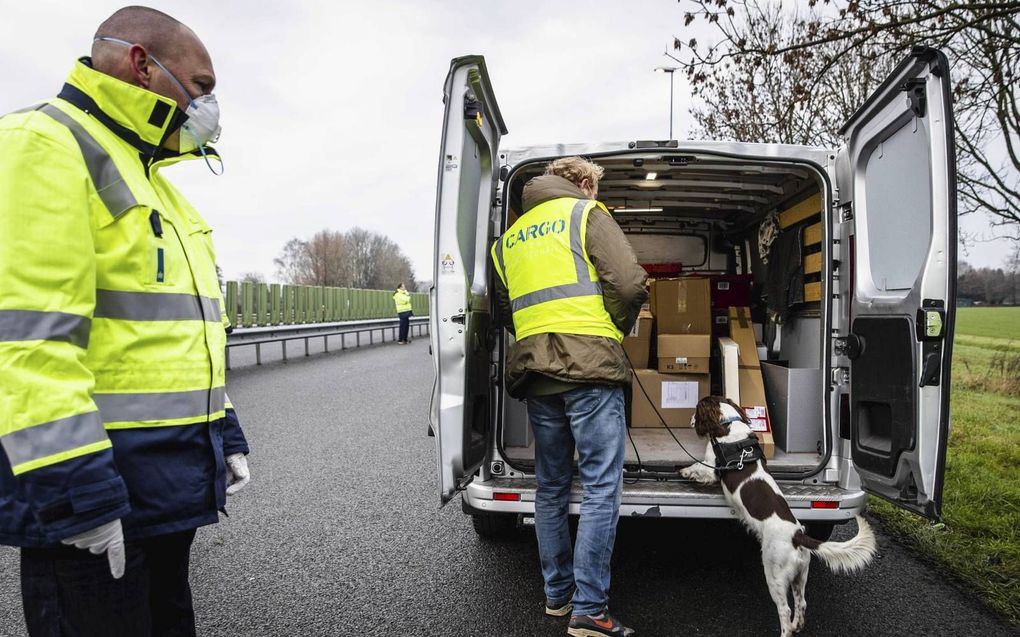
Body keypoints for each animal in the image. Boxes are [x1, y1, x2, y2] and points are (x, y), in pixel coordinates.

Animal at [677, 395, 877, 631]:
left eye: (696, 410)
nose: (689, 420)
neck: (728, 423)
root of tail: (797, 536)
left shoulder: (711, 467)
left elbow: (697, 468)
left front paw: (684, 471)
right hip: (800, 574)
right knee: (802, 603)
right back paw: (797, 625)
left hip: (775, 573)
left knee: (785, 609)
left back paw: (786, 629)